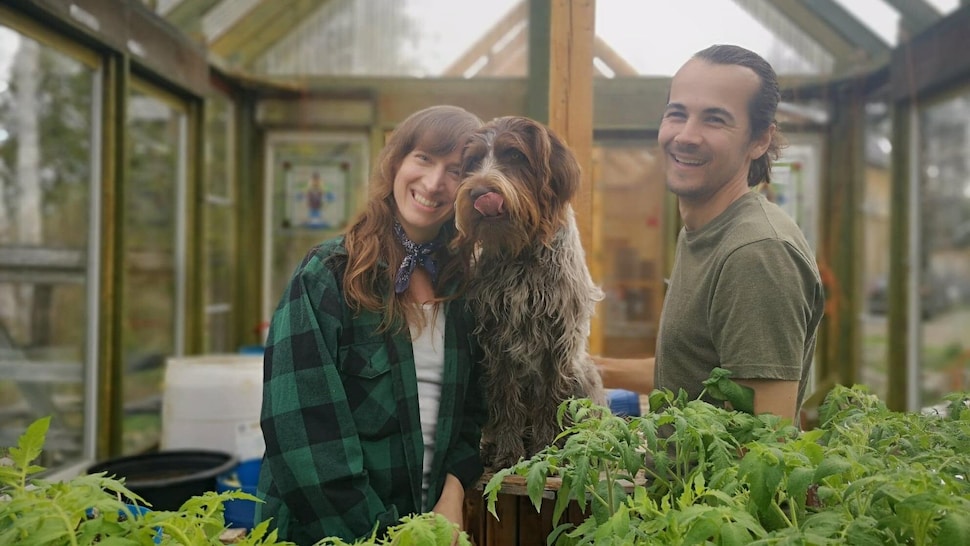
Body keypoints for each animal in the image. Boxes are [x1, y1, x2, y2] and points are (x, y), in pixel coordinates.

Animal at [454, 116, 604, 468]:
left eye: (515, 155)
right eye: (473, 162)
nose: (479, 191)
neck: (522, 253)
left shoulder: (558, 342)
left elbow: (549, 402)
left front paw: (546, 449)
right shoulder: (498, 343)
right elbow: (506, 399)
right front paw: (508, 452)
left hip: (583, 374)